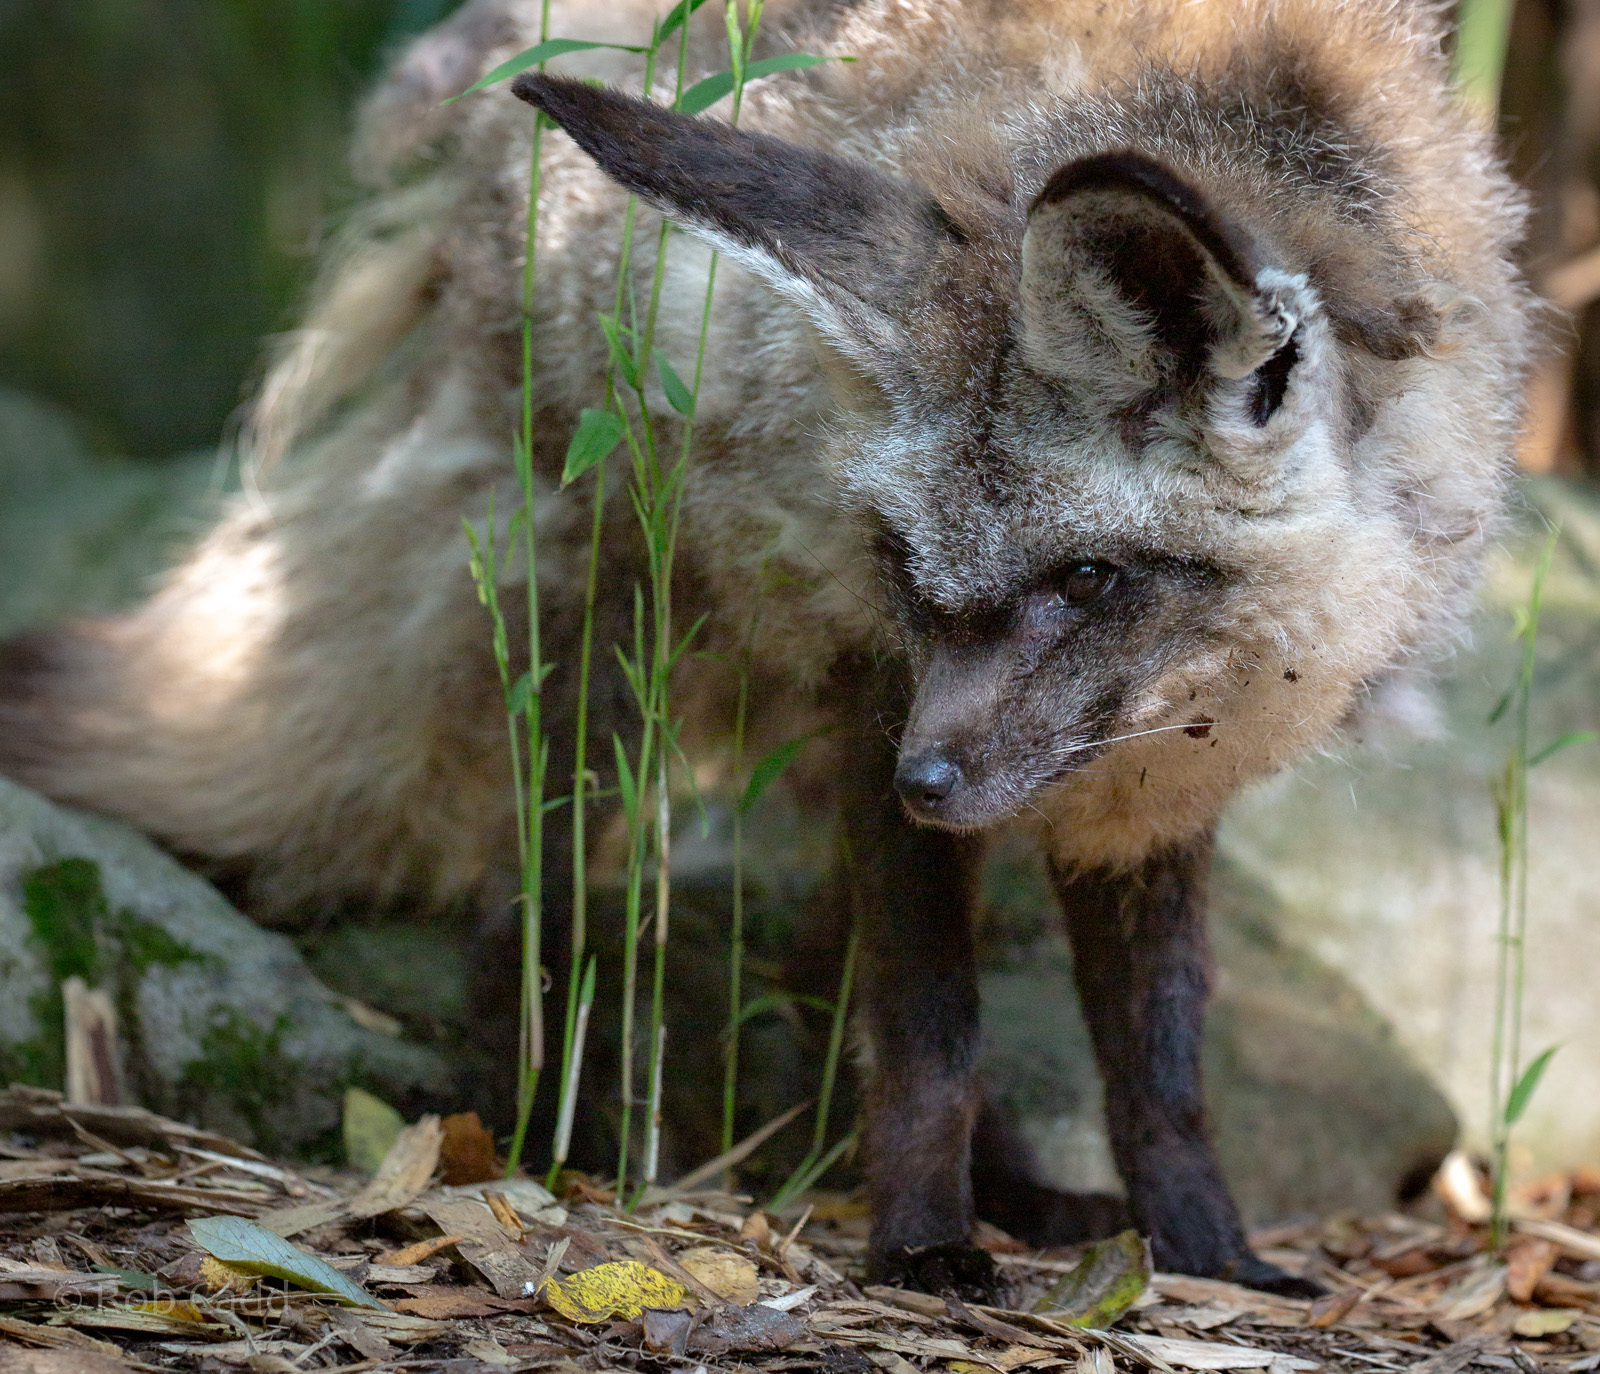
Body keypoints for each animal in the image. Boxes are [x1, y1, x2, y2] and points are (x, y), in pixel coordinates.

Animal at [0, 0, 1532, 1297]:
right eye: (907, 569)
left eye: (1088, 577)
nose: (928, 784)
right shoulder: (874, 682)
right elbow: (930, 1032)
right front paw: (920, 1247)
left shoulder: (1144, 787)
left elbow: (1158, 1067)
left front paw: (1208, 1253)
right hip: (597, 672)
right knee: (520, 928)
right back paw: (533, 1145)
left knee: (801, 956)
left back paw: (1017, 1192)